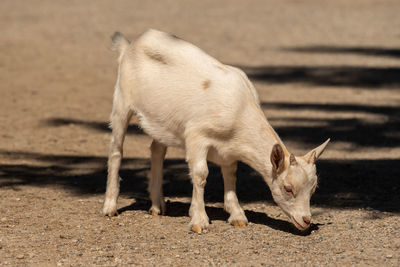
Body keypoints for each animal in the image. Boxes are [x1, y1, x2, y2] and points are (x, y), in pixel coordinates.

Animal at [102, 29, 328, 234]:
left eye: (314, 188)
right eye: (288, 188)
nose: (306, 220)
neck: (240, 109)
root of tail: (129, 46)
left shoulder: (228, 149)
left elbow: (230, 174)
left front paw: (237, 215)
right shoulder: (196, 136)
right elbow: (201, 174)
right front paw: (199, 220)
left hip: (162, 121)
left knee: (157, 150)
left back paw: (158, 205)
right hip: (121, 102)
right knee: (116, 151)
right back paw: (110, 207)